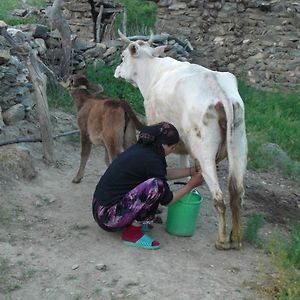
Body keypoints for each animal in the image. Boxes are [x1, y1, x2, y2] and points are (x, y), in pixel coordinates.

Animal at [113, 32, 247, 250]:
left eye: (123, 56)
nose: (116, 70)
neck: (152, 73)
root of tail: (219, 91)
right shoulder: (183, 145)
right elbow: (184, 167)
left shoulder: (153, 119)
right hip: (240, 144)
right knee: (237, 191)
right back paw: (236, 238)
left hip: (204, 149)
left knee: (219, 197)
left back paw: (222, 241)